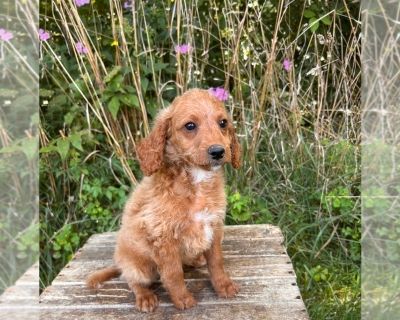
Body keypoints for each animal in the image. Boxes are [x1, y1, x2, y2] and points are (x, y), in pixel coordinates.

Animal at [86, 88, 241, 312]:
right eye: (190, 126)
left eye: (223, 123)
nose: (218, 151)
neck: (196, 180)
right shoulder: (163, 237)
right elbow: (173, 273)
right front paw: (182, 299)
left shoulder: (214, 225)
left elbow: (217, 262)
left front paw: (224, 286)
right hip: (138, 266)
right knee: (133, 281)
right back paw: (145, 297)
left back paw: (197, 260)